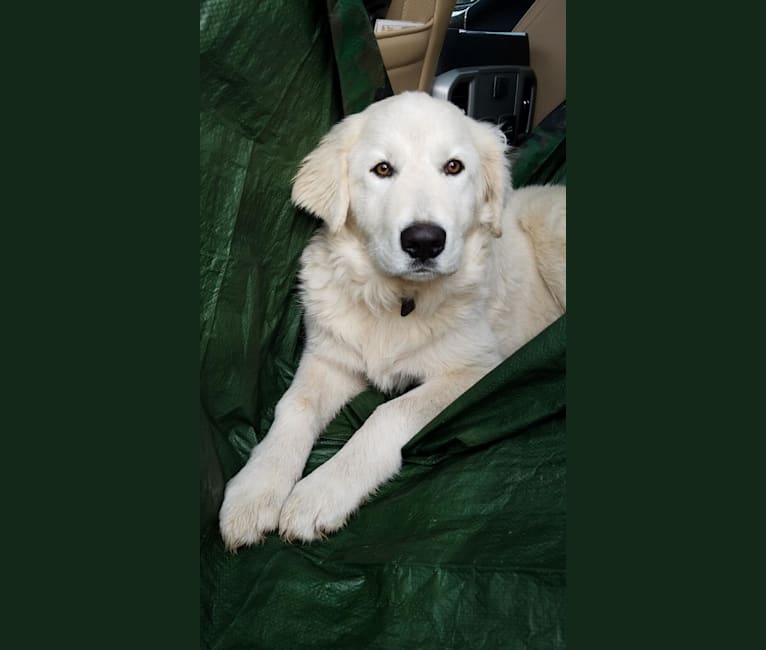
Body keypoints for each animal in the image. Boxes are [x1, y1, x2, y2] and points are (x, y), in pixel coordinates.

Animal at [219, 91, 568, 548]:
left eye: (453, 167)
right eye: (382, 169)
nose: (424, 242)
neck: (398, 300)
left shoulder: (478, 371)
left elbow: (390, 414)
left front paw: (320, 493)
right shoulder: (330, 357)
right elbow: (294, 404)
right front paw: (254, 490)